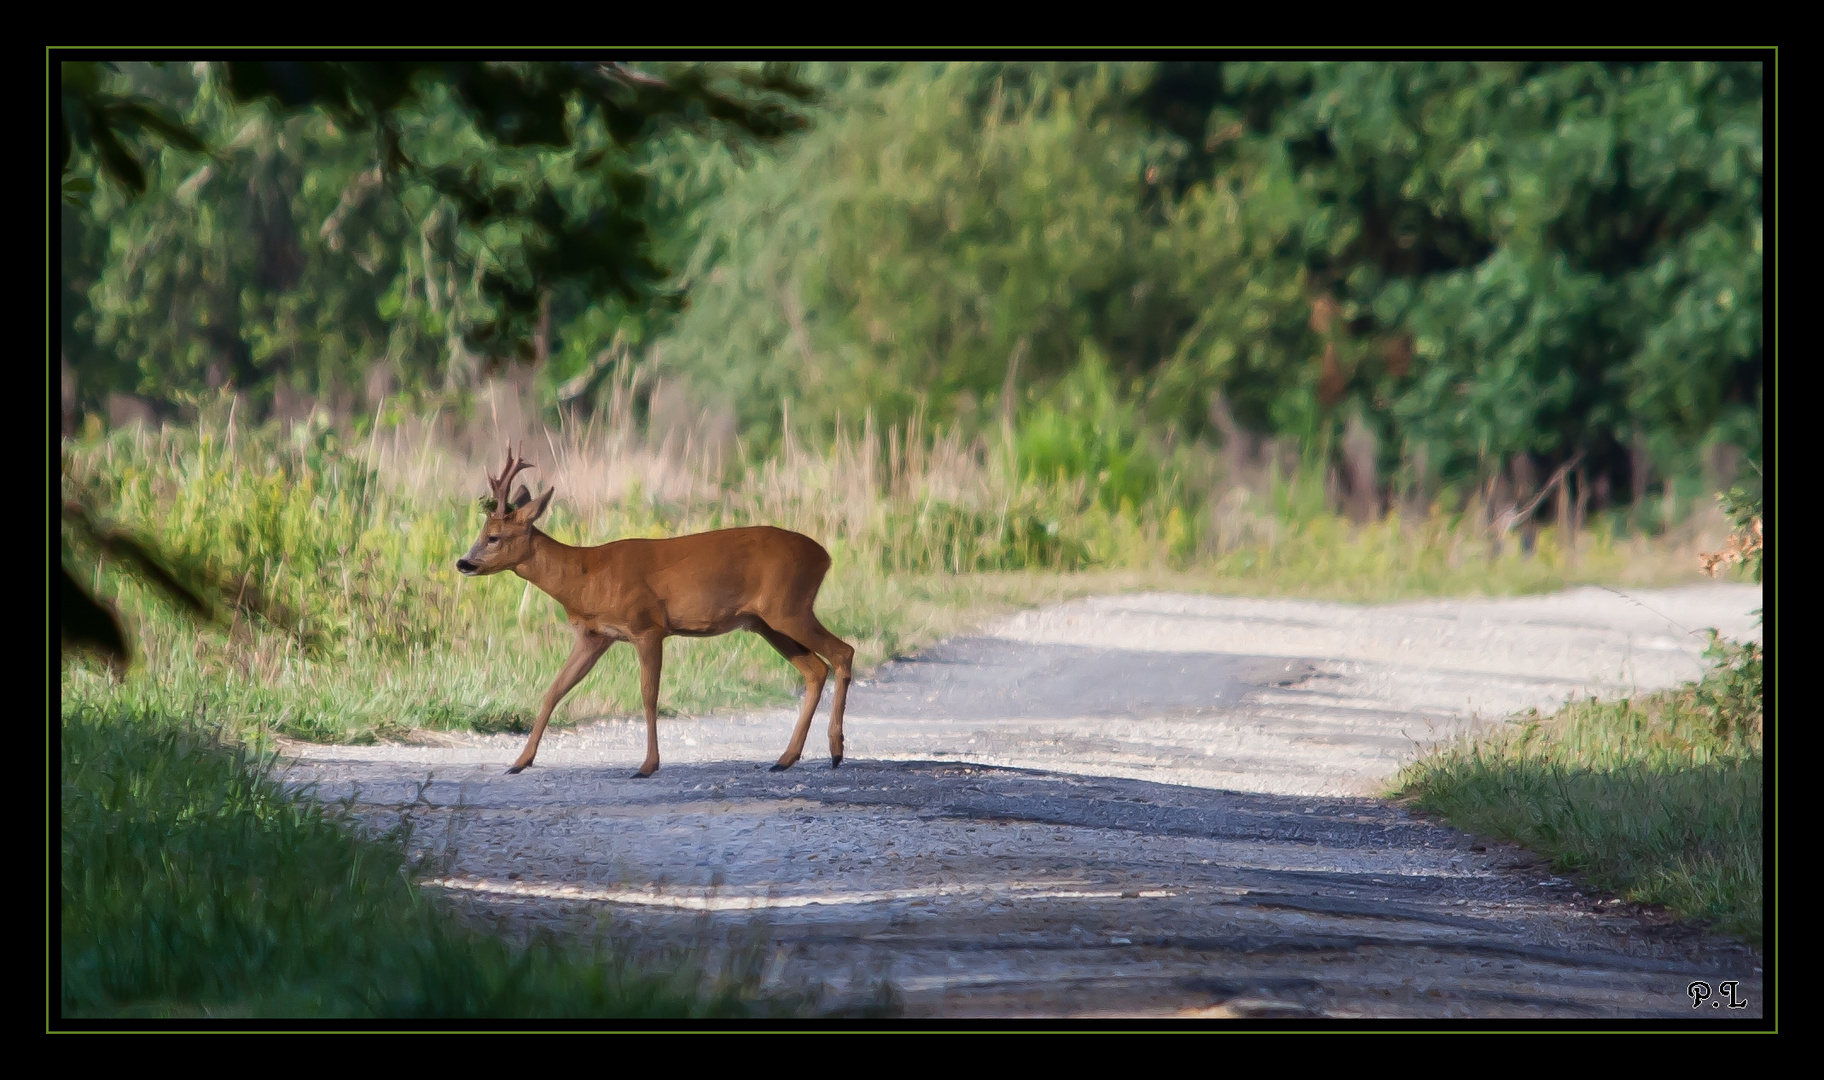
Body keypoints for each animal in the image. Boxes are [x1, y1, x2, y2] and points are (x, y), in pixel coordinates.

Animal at [456, 443, 853, 780]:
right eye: (481, 532)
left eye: (493, 537)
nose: (463, 563)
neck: (586, 577)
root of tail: (825, 556)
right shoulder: (594, 636)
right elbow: (554, 690)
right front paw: (520, 761)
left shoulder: (647, 627)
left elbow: (649, 695)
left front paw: (647, 765)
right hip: (765, 622)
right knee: (815, 669)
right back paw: (786, 758)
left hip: (789, 607)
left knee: (842, 652)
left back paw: (835, 751)